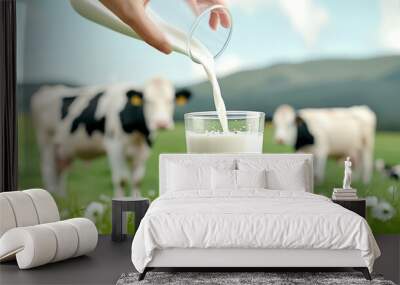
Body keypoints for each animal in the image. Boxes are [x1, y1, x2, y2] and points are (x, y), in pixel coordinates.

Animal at [31, 77, 191, 197]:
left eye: (171, 100)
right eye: (147, 101)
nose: (161, 123)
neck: (138, 134)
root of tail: (48, 89)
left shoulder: (143, 151)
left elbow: (137, 180)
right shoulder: (115, 147)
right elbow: (121, 180)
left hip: (64, 148)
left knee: (61, 171)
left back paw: (62, 198)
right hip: (45, 141)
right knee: (48, 169)